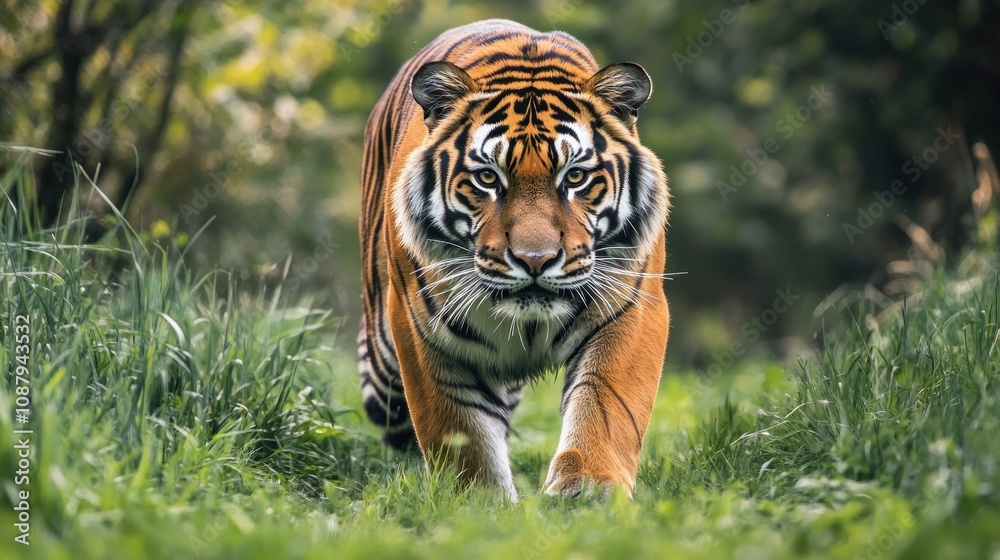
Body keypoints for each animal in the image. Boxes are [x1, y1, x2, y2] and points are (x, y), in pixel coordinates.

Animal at [358, 18, 670, 501]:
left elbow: (604, 403)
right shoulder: (419, 328)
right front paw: (478, 501)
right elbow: (459, 429)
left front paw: (589, 487)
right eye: (488, 178)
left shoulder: (630, 307)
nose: (535, 260)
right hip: (382, 359)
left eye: (575, 177)